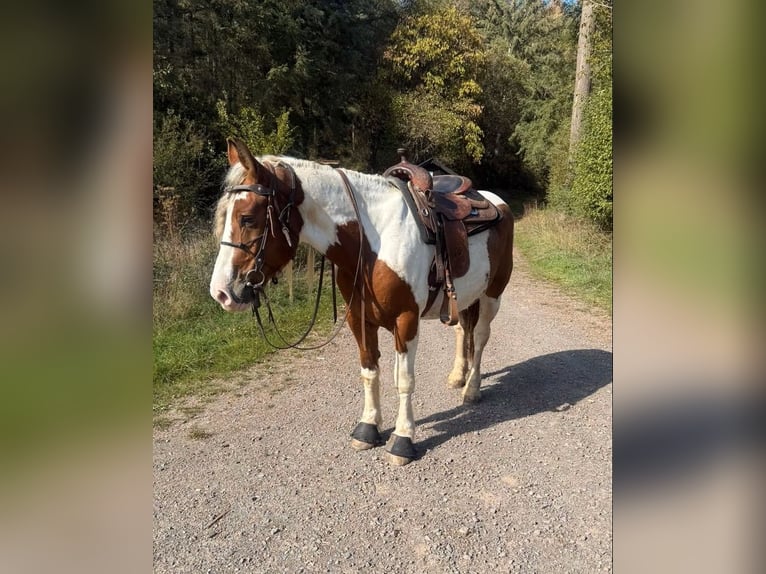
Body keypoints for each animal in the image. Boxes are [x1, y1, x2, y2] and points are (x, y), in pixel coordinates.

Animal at [209, 138, 514, 465]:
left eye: (247, 218)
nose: (221, 292)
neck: (373, 241)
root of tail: (494, 200)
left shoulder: (406, 320)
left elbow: (404, 380)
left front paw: (403, 441)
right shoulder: (359, 317)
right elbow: (369, 371)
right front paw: (368, 429)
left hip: (492, 295)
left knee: (479, 337)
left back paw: (471, 389)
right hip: (464, 297)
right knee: (462, 331)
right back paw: (458, 376)